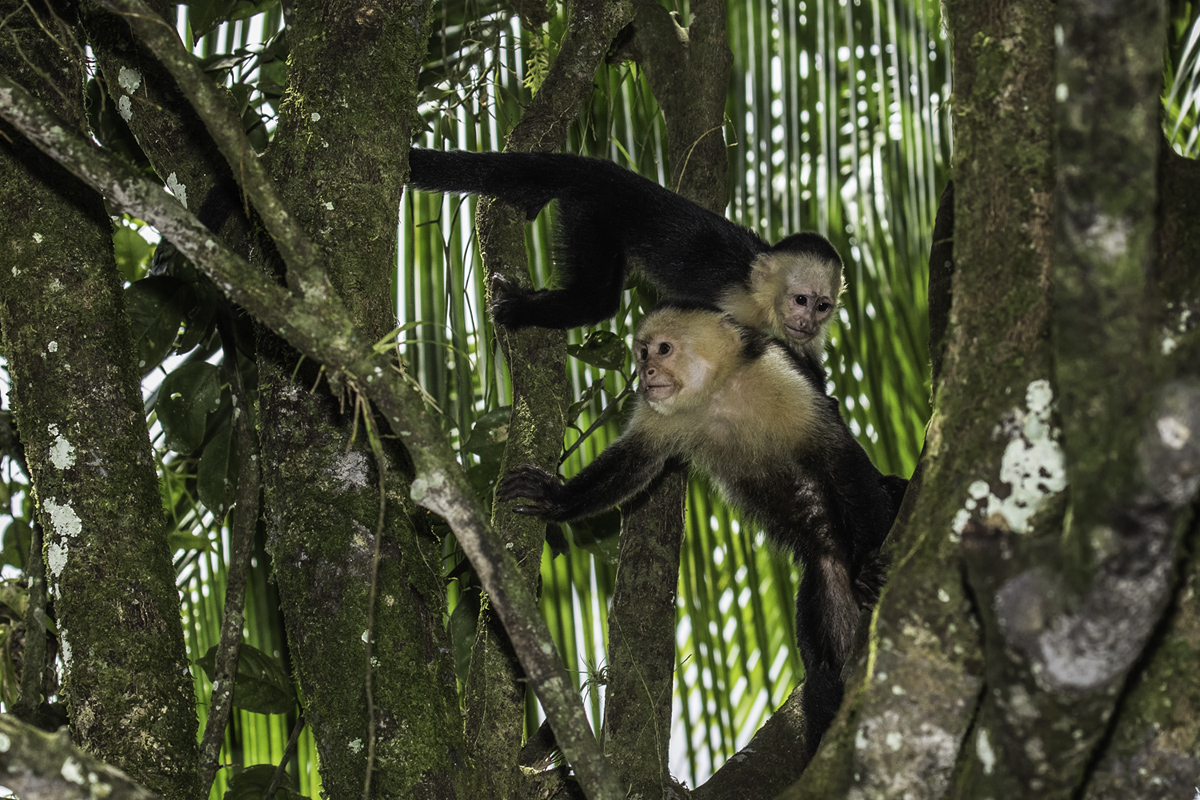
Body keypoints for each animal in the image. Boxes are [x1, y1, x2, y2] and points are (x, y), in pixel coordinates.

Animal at [408, 146, 840, 362]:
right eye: (800, 299)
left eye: (823, 306)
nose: (807, 322)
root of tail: (605, 173)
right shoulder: (738, 308)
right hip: (591, 213)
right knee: (596, 299)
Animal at [494, 303, 902, 753]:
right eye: (642, 352)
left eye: (663, 349)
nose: (646, 372)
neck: (718, 392)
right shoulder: (661, 413)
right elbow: (633, 465)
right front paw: (556, 499)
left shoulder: (778, 375)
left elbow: (839, 458)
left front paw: (870, 564)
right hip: (827, 578)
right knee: (825, 675)